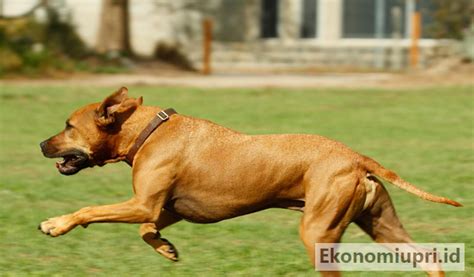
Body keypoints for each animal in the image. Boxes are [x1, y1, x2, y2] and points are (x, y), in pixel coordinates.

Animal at [39, 87, 462, 272]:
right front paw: (165, 248)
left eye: (68, 125)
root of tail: (356, 157)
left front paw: (56, 224)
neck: (146, 131)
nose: (42, 143)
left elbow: (89, 209)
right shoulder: (167, 208)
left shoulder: (143, 203)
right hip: (382, 226)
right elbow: (147, 229)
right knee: (426, 255)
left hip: (319, 230)